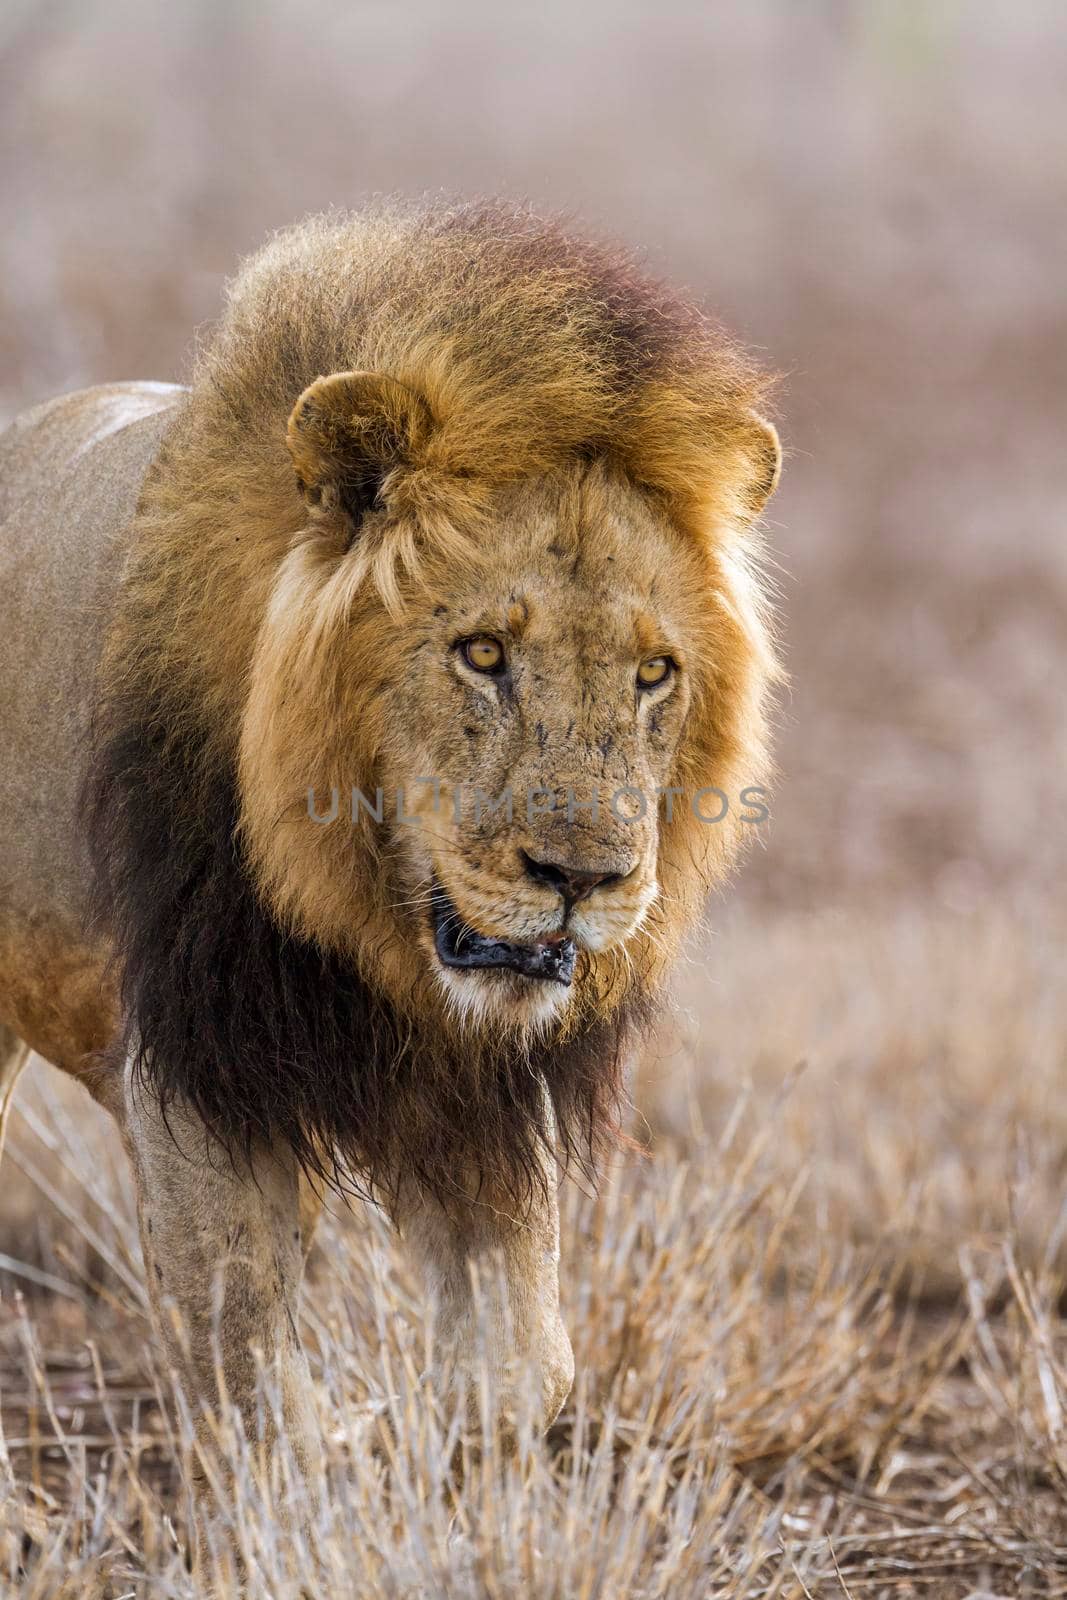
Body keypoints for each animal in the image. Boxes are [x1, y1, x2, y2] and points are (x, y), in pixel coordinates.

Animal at [0, 206, 783, 1516]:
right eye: (481, 652)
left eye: (652, 672)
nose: (582, 880)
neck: (376, 927)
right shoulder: (193, 1053)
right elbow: (245, 1342)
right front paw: (317, 1469)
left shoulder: (492, 1098)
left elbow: (526, 1368)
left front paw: (438, 1448)